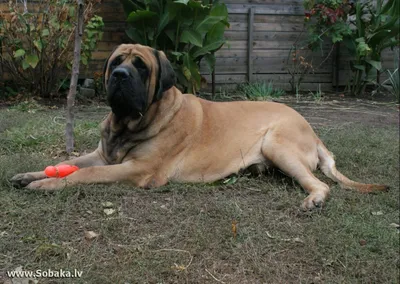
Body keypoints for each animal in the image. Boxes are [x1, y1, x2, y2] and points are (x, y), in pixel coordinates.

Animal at [10, 43, 390, 209]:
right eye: (117, 61)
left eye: (141, 67)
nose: (118, 75)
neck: (130, 123)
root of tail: (313, 130)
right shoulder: (104, 155)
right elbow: (68, 163)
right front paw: (30, 175)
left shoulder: (138, 169)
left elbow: (84, 173)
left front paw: (46, 185)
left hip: (277, 144)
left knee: (321, 184)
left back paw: (315, 199)